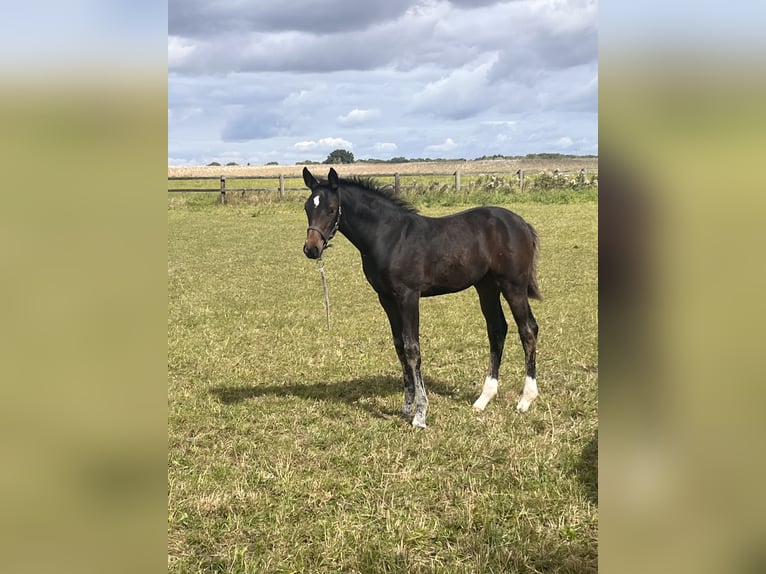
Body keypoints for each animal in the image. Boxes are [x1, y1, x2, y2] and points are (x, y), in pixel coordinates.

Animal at [302, 167, 541, 428]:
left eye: (331, 209)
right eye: (307, 208)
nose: (311, 249)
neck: (389, 236)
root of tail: (521, 223)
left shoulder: (408, 295)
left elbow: (412, 348)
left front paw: (420, 414)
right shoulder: (386, 299)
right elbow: (399, 346)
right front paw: (407, 406)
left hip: (513, 285)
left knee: (528, 329)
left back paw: (526, 399)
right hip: (486, 286)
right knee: (497, 329)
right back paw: (483, 399)